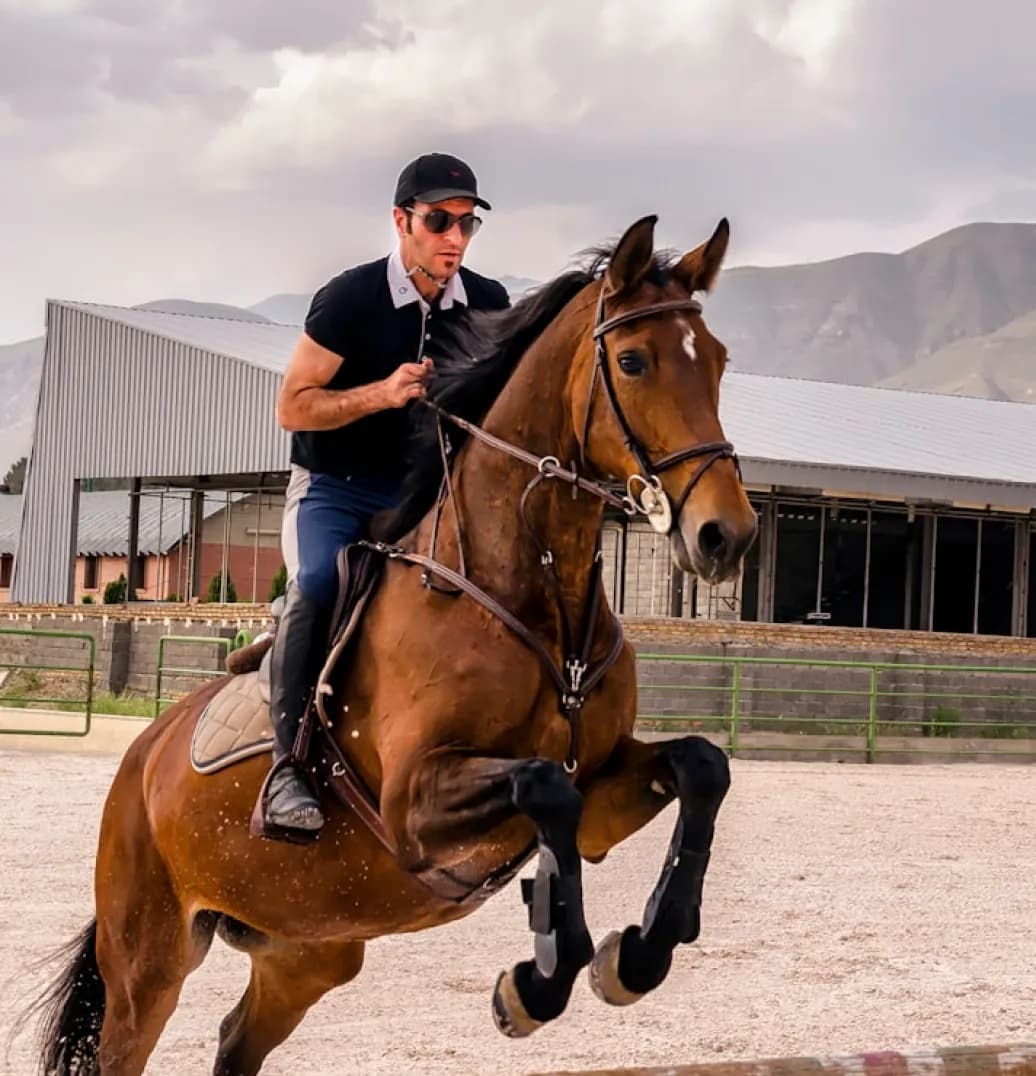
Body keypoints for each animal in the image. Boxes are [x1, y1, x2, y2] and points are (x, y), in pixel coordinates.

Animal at [20, 214, 758, 1075]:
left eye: (718, 361)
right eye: (634, 361)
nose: (725, 535)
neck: (535, 599)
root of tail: (141, 759)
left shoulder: (604, 790)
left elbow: (701, 767)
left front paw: (634, 959)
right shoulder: (416, 802)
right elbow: (546, 786)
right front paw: (535, 985)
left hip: (308, 951)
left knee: (238, 1040)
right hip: (147, 961)